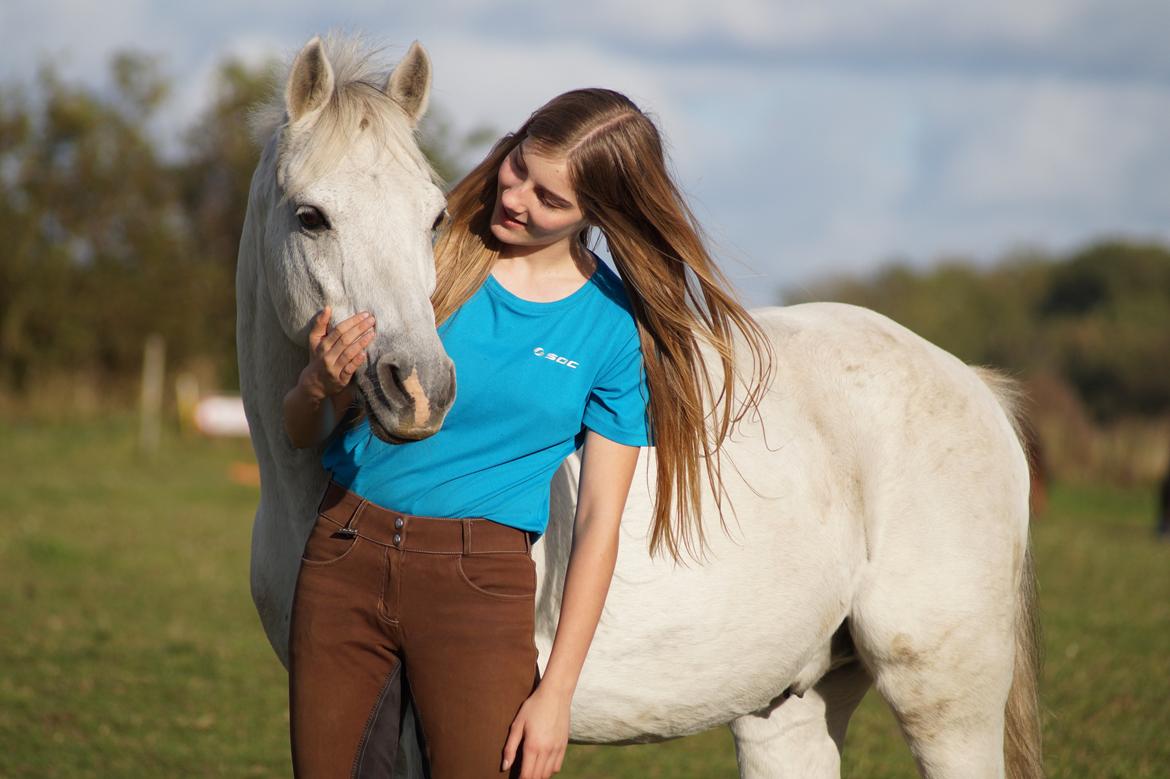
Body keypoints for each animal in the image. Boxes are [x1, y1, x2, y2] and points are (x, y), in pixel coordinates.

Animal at [237, 36, 1043, 776]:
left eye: (433, 218)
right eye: (311, 217)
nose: (419, 390)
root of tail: (972, 385)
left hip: (943, 701)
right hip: (790, 707)